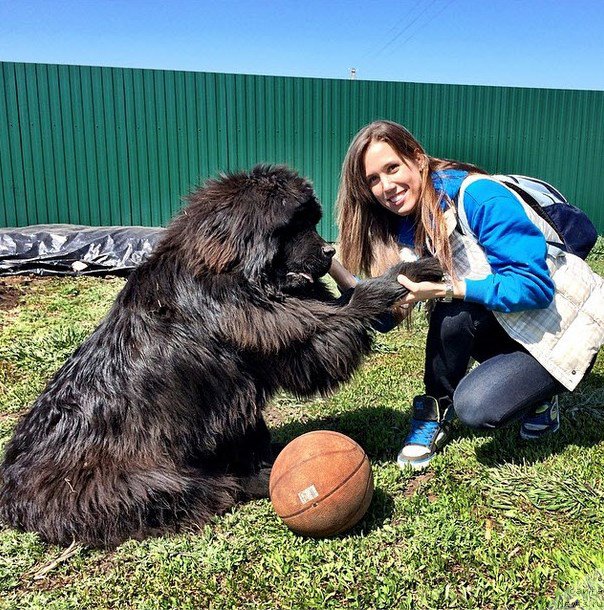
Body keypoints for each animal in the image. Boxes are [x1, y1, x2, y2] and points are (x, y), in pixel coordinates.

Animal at [0, 164, 444, 544]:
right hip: (129, 482)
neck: (230, 272)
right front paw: (408, 273)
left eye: (313, 221)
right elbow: (346, 309)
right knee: (195, 492)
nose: (329, 252)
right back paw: (256, 481)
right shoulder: (284, 328)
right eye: (294, 225)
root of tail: (12, 486)